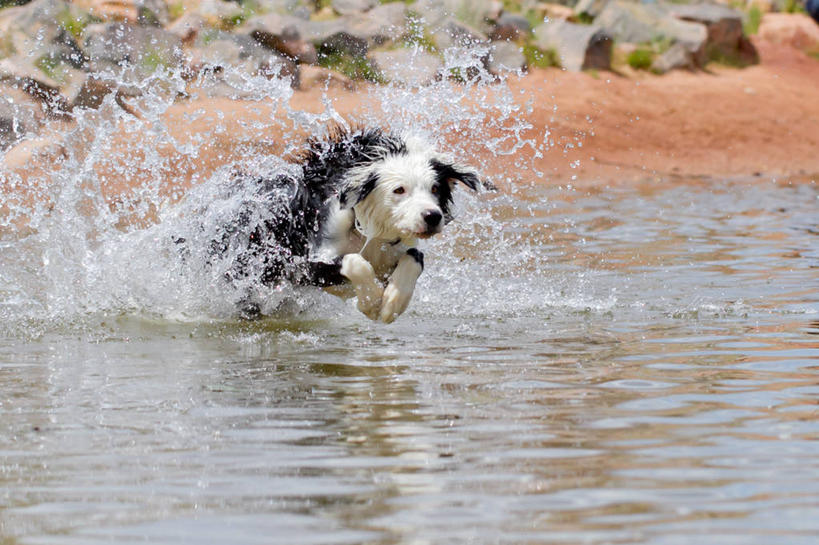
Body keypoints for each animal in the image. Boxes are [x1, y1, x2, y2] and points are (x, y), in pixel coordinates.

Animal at [216, 126, 486, 324]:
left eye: (435, 189)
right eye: (399, 190)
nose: (432, 217)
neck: (370, 230)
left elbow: (414, 257)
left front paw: (392, 302)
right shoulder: (305, 264)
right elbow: (354, 261)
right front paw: (372, 302)